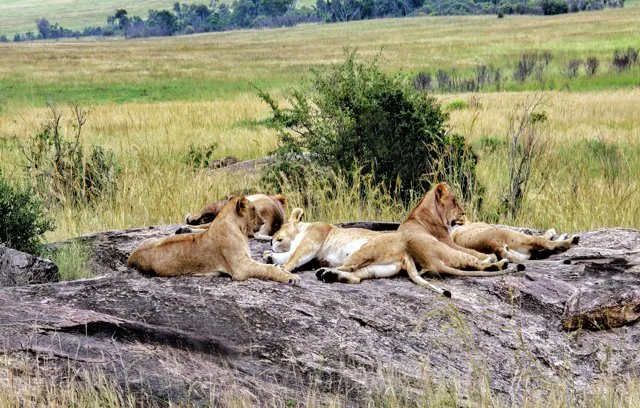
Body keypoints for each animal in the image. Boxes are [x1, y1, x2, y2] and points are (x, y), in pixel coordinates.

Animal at [127, 196, 299, 285]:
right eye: (254, 210)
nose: (263, 222)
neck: (239, 229)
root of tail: (131, 257)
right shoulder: (241, 268)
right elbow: (268, 269)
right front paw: (291, 278)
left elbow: (271, 265)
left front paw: (284, 270)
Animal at [268, 208, 451, 296]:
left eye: (279, 228)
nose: (270, 240)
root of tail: (406, 252)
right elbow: (287, 254)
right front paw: (270, 257)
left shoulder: (312, 242)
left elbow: (295, 257)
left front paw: (283, 268)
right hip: (375, 268)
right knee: (355, 277)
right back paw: (329, 275)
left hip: (365, 249)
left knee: (348, 267)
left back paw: (324, 272)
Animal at [451, 216, 580, 262]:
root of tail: (493, 245)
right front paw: (552, 232)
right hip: (520, 238)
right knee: (547, 243)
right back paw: (571, 239)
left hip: (525, 253)